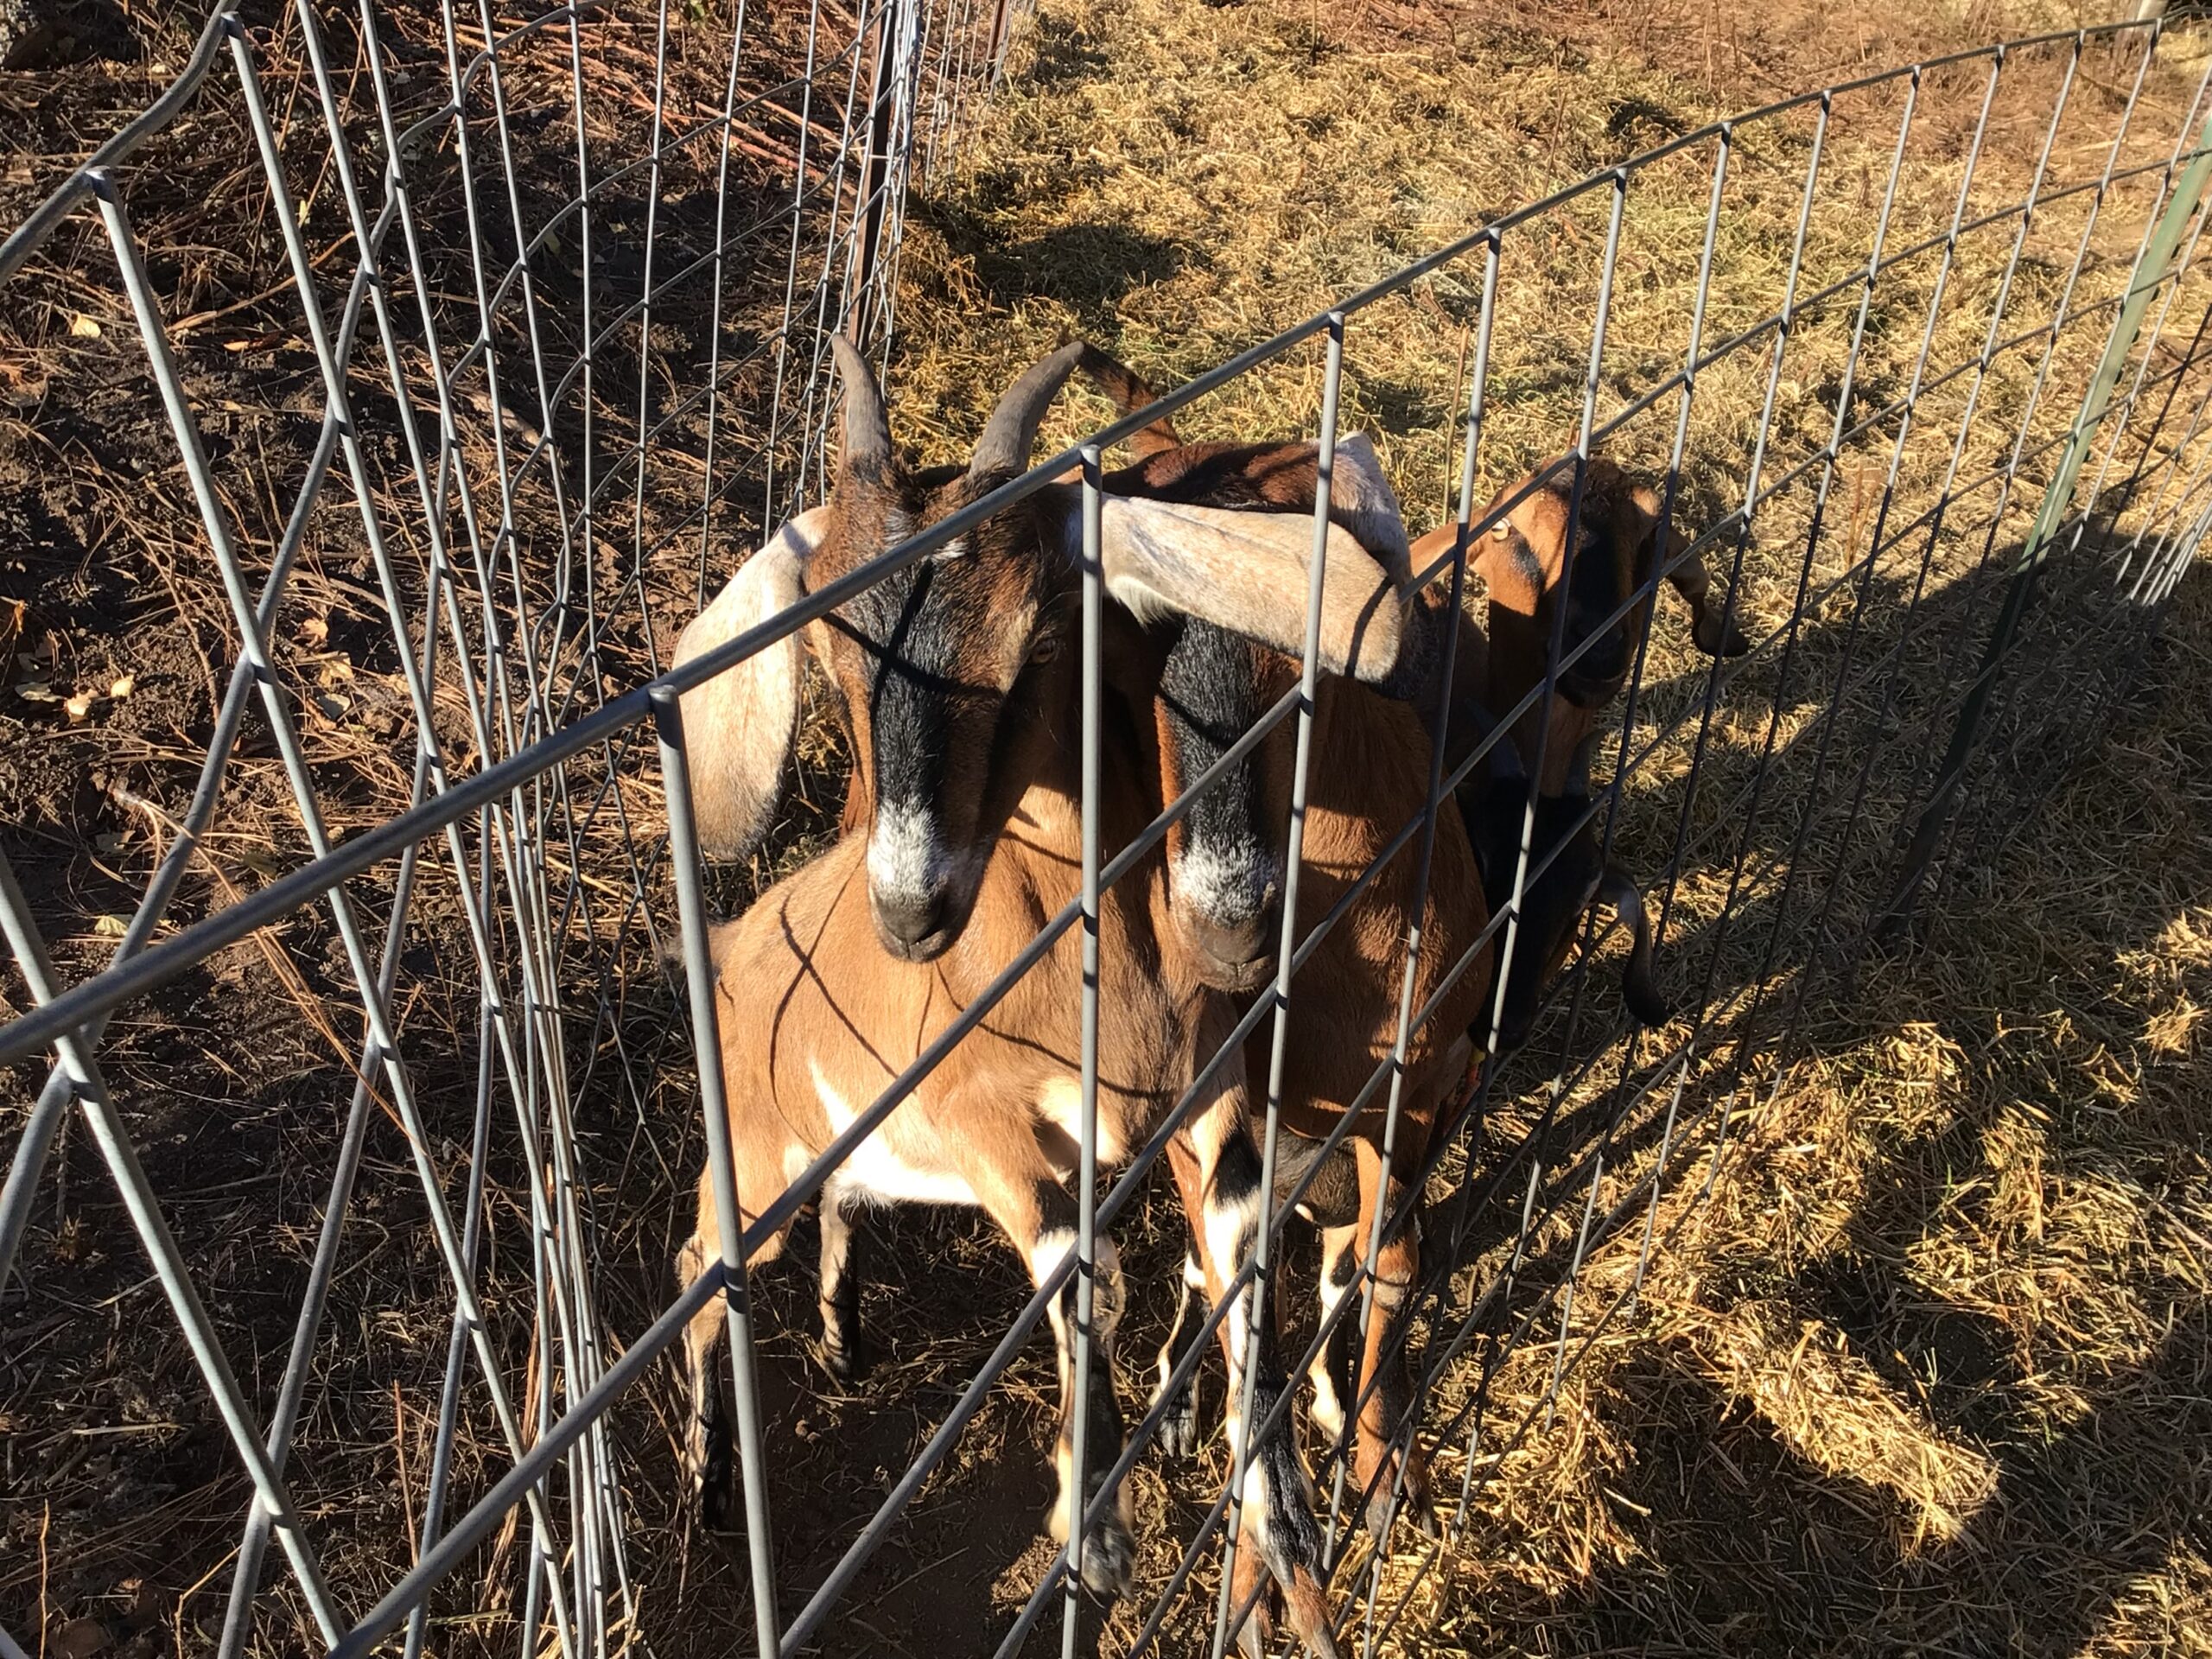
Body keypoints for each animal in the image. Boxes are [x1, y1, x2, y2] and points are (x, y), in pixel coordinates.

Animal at [666, 339, 1415, 1653]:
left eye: (1034, 647)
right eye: (834, 660)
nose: (909, 913)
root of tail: (733, 942)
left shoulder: (1206, 1102)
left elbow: (1240, 1255)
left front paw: (1283, 1522)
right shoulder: (984, 1126)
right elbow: (1091, 1270)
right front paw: (1095, 1529)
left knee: (827, 1213)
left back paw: (841, 1336)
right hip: (753, 1163)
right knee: (696, 1274)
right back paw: (713, 1480)